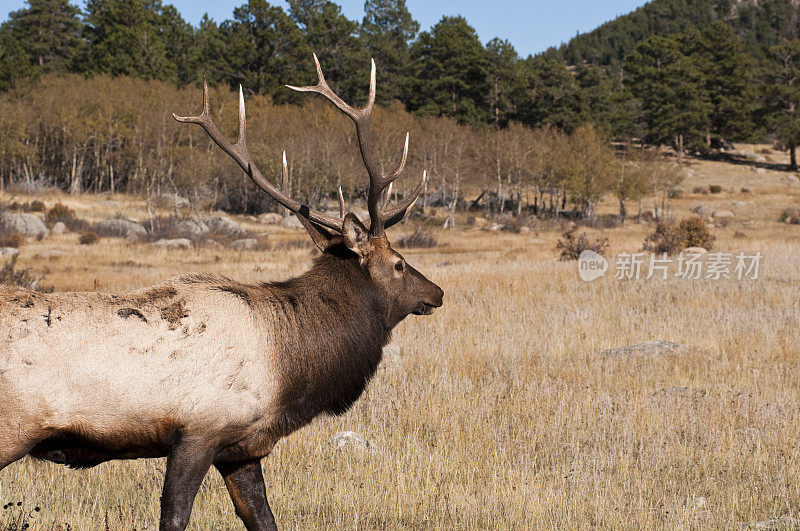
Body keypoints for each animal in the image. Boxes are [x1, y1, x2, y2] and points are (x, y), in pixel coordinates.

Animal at [0, 55, 444, 531]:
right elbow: (175, 516)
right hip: (12, 428)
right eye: (398, 263)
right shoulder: (198, 431)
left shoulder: (241, 448)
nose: (437, 293)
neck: (289, 371)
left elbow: (262, 517)